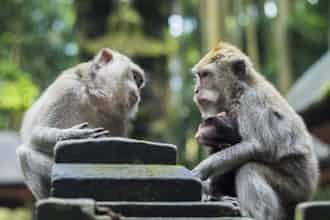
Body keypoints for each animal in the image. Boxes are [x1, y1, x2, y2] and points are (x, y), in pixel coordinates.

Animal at [16, 48, 145, 199]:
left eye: (139, 82)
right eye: (134, 76)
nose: (138, 93)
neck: (94, 96)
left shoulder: (119, 119)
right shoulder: (66, 88)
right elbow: (34, 135)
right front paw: (74, 135)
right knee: (24, 154)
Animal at [192, 42, 318, 220]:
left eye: (205, 75)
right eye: (199, 76)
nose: (196, 90)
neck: (239, 89)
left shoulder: (252, 100)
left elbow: (259, 146)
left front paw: (201, 171)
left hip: (294, 190)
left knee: (249, 169)